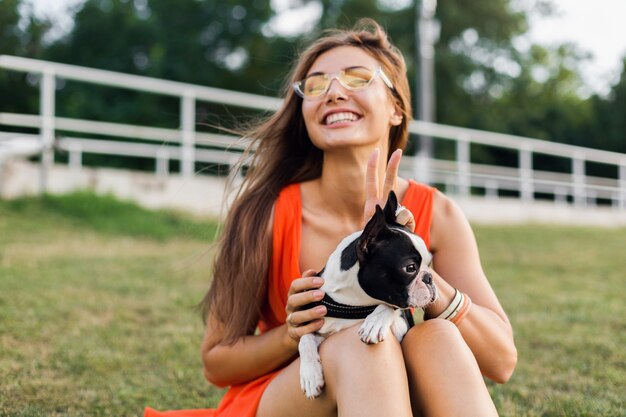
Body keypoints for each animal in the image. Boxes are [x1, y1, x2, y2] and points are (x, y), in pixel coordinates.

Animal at [296, 190, 434, 398]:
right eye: (410, 268)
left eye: (430, 265)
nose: (430, 278)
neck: (354, 303)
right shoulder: (319, 325)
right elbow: (304, 339)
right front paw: (310, 374)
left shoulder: (402, 326)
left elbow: (390, 306)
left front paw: (375, 322)